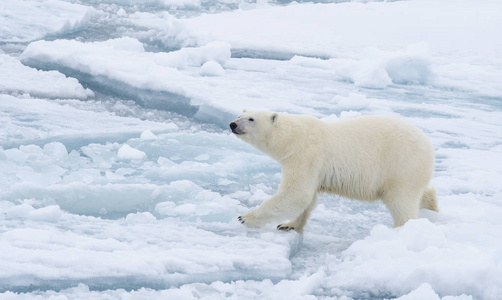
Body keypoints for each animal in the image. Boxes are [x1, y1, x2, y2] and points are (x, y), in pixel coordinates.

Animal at [229, 109, 438, 232]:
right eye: (239, 115)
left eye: (251, 119)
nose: (233, 124)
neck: (291, 137)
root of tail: (428, 146)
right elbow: (307, 199)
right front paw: (288, 224)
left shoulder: (305, 156)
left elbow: (297, 193)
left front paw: (244, 217)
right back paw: (432, 203)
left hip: (401, 165)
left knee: (401, 202)